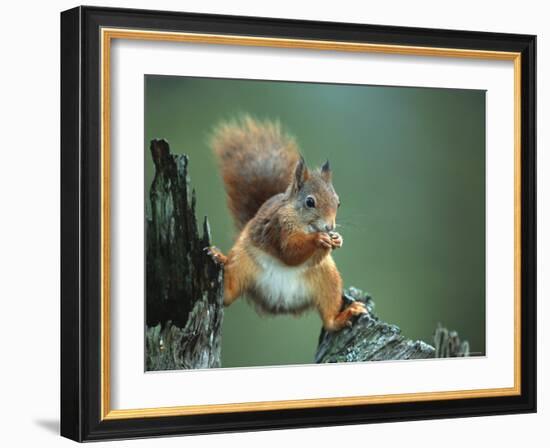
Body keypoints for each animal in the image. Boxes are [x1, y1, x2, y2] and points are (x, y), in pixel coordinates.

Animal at [207, 115, 366, 332]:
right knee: (228, 295)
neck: (303, 222)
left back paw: (344, 316)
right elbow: (289, 252)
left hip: (328, 278)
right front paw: (319, 239)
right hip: (240, 263)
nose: (330, 227)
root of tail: (280, 303)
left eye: (338, 202)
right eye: (310, 202)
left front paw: (336, 239)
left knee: (329, 319)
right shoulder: (278, 227)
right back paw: (218, 257)